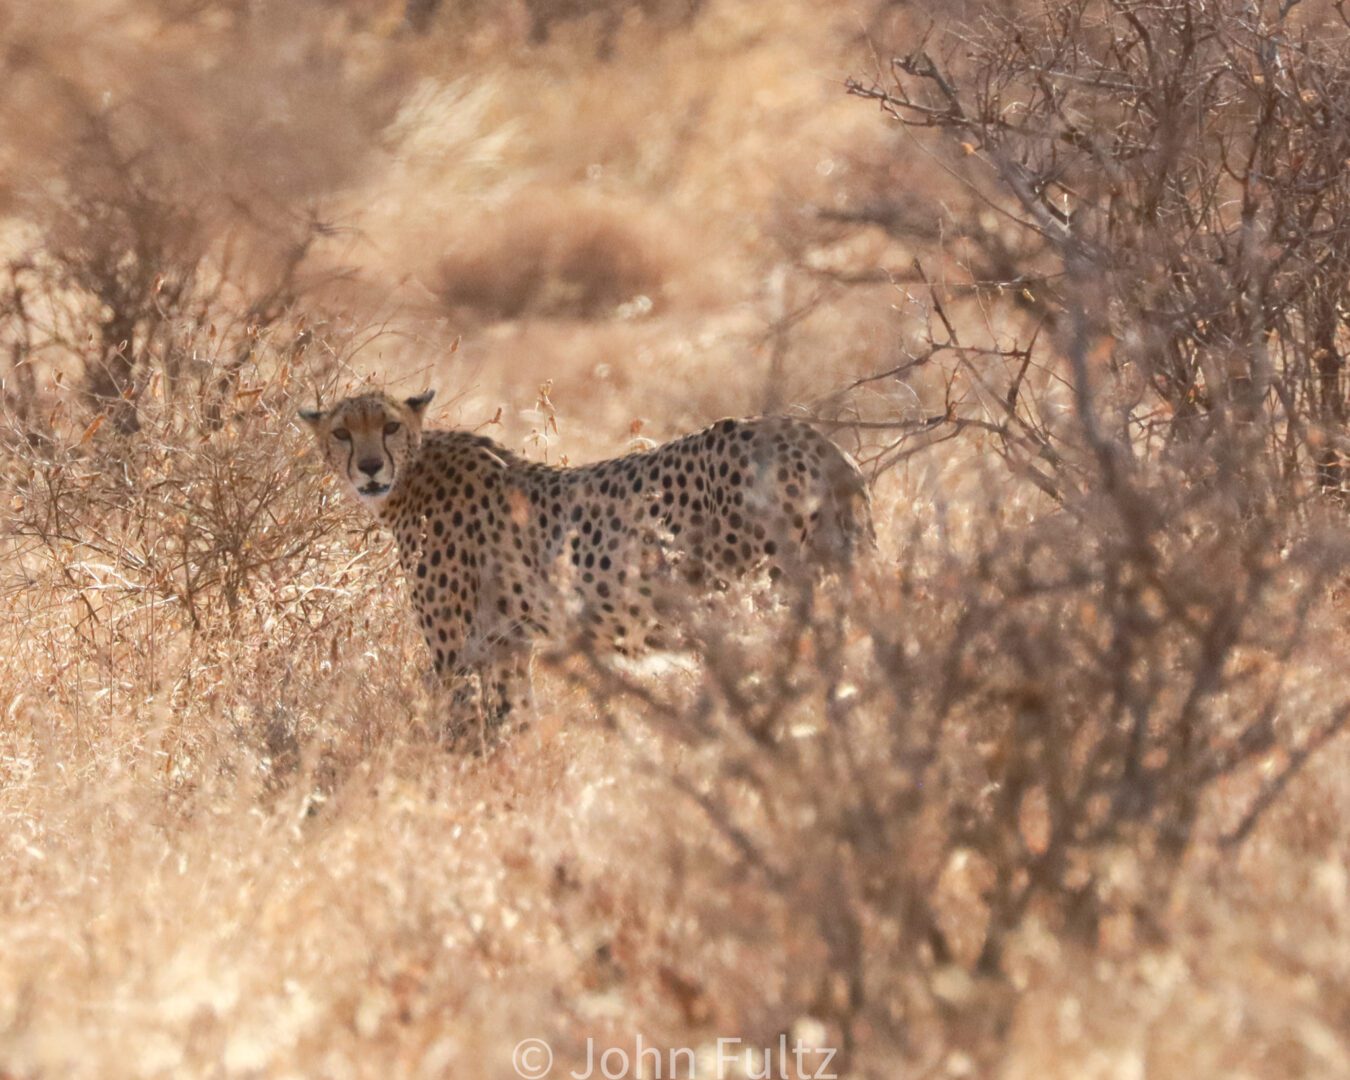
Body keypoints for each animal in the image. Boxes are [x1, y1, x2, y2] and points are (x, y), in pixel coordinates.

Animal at [302, 391, 874, 723]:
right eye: (342, 433)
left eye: (390, 426)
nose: (370, 467)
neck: (413, 473)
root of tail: (808, 435)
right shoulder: (508, 646)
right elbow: (516, 723)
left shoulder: (460, 654)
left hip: (758, 600)